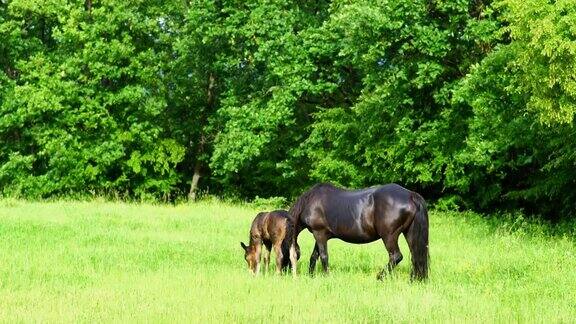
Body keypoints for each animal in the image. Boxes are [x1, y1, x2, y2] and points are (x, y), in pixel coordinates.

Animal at [288, 184, 428, 280]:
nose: (287, 272)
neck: (309, 202)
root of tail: (410, 195)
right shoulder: (320, 235)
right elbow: (314, 256)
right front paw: (310, 276)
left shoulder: (319, 233)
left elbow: (323, 256)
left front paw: (327, 276)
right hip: (409, 233)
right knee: (415, 255)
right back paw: (414, 279)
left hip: (389, 236)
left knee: (396, 256)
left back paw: (379, 277)